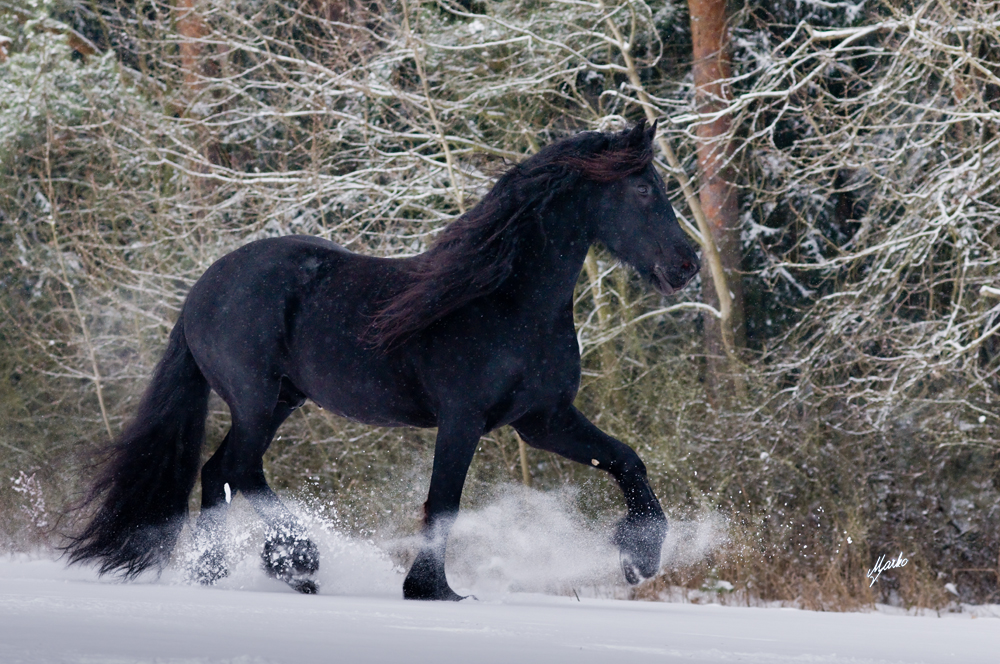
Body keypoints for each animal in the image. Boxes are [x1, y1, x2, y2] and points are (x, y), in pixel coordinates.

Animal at [68, 120, 696, 600]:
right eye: (644, 190)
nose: (686, 264)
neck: (508, 303)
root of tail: (202, 289)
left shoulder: (543, 419)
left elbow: (626, 460)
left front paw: (640, 559)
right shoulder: (463, 419)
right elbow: (444, 502)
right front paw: (431, 589)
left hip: (280, 400)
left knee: (223, 472)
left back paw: (227, 572)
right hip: (255, 397)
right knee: (235, 469)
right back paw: (291, 562)